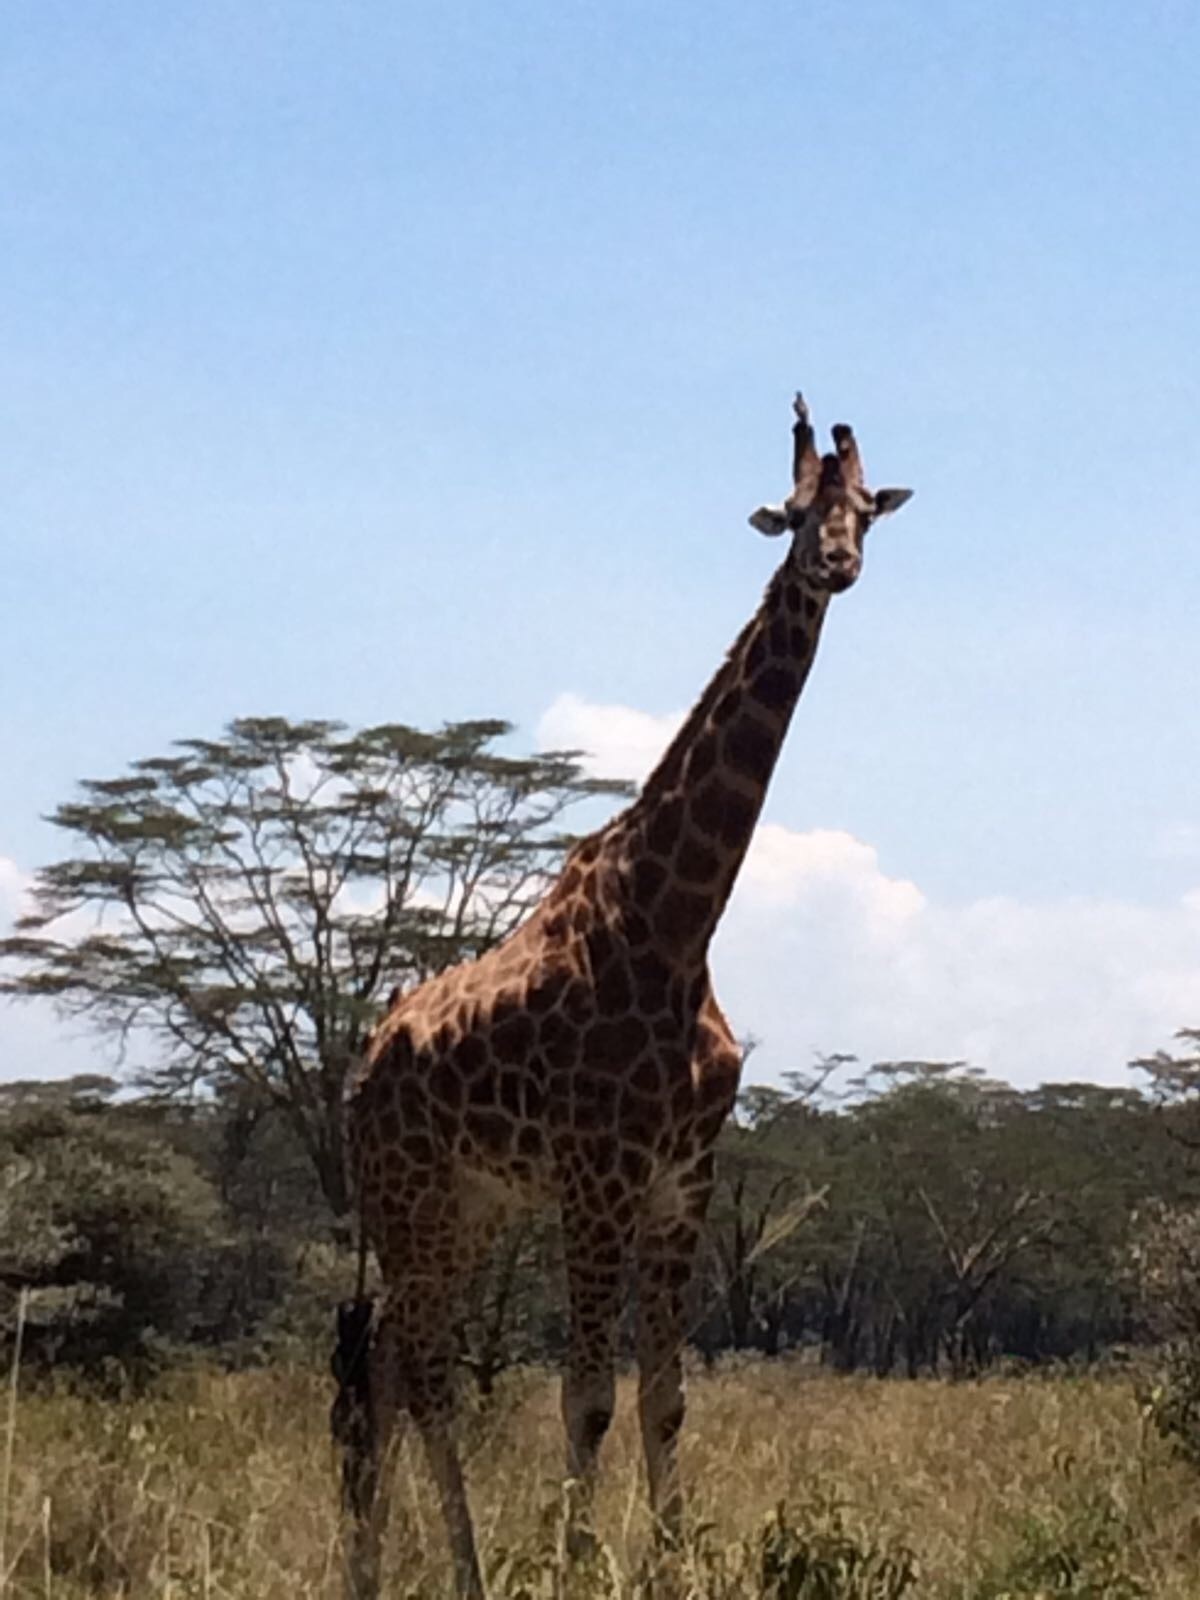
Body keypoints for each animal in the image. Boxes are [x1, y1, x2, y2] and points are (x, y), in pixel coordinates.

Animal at [342, 393, 915, 1593]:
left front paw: (668, 1563)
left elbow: (665, 1400)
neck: (678, 922)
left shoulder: (681, 1181)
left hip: (466, 1207)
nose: (835, 565)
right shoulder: (598, 1178)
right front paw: (575, 1563)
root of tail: (359, 1072)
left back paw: (393, 1568)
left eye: (864, 510)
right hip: (409, 1198)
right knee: (410, 1373)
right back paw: (439, 1571)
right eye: (796, 510)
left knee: (392, 1368)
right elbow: (588, 1400)